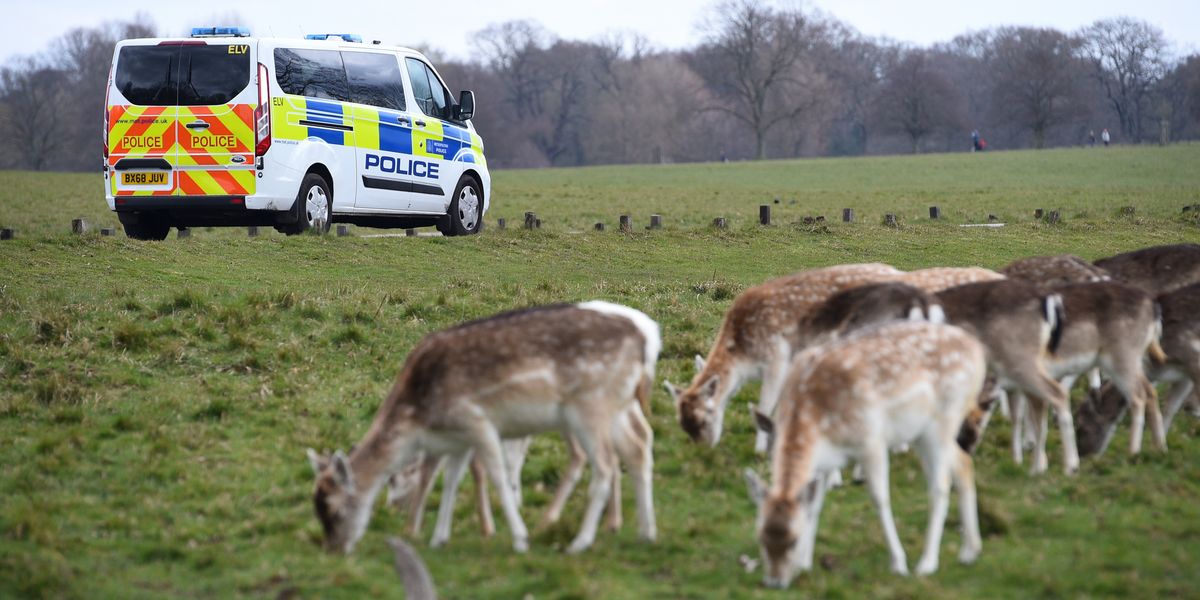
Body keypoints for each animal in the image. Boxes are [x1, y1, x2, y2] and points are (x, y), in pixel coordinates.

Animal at [306, 301, 660, 555]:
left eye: (333, 509)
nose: (333, 549)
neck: (418, 416)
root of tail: (648, 336)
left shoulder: (478, 423)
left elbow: (497, 477)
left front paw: (518, 538)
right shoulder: (457, 439)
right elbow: (451, 480)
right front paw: (439, 538)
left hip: (588, 408)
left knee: (605, 463)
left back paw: (578, 541)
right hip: (617, 408)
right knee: (638, 447)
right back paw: (644, 532)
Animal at [667, 263, 1000, 453]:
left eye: (703, 417)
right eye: (682, 423)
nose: (704, 450)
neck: (744, 356)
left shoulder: (777, 357)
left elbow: (766, 402)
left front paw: (762, 447)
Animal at [744, 321, 986, 587]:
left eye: (793, 540)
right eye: (760, 535)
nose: (774, 582)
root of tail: (978, 352)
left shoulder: (872, 441)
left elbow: (879, 498)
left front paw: (898, 563)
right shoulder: (826, 461)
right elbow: (814, 505)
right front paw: (805, 564)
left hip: (944, 419)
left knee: (940, 486)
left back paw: (927, 564)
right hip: (922, 434)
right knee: (964, 463)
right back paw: (969, 551)